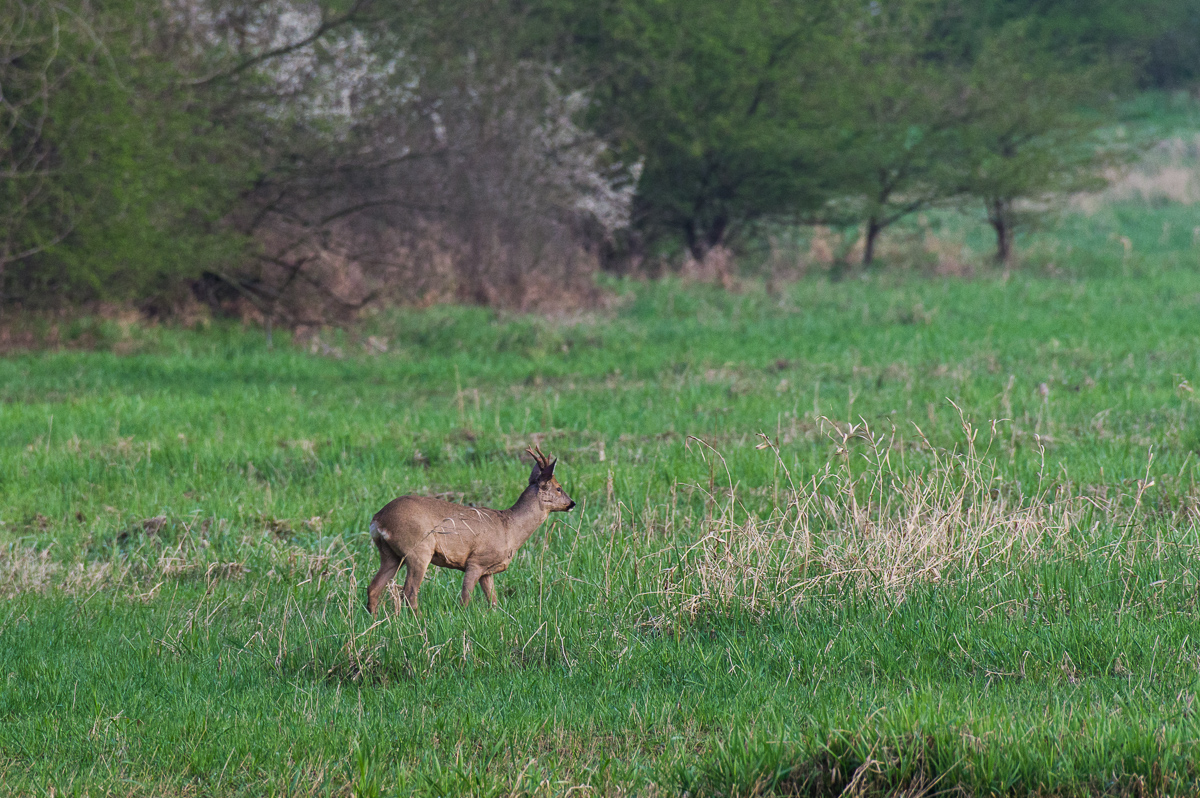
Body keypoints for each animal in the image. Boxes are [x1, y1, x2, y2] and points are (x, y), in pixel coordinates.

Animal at [362, 448, 573, 609]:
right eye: (558, 488)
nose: (572, 503)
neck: (511, 528)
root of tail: (378, 519)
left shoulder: (488, 571)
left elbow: (493, 601)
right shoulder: (476, 561)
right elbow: (465, 598)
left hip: (391, 554)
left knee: (374, 588)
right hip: (418, 549)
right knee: (409, 592)